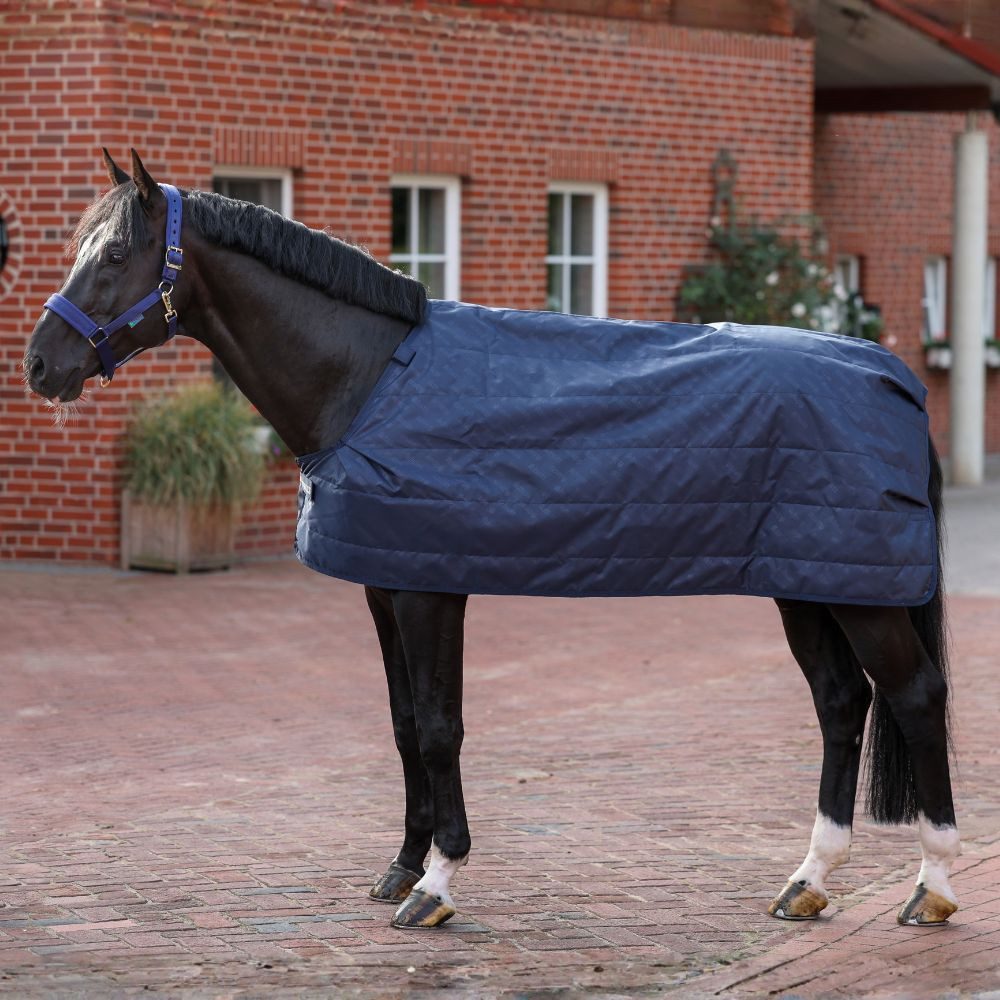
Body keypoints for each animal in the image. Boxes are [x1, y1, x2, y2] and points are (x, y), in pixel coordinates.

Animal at [24, 149, 959, 931]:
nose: (40, 363)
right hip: (811, 582)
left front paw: (437, 884)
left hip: (859, 595)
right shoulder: (385, 584)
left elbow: (442, 727)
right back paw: (809, 879)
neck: (368, 380)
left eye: (116, 255)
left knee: (915, 697)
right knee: (840, 702)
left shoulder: (431, 588)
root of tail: (892, 376)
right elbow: (405, 724)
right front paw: (401, 867)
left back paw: (933, 884)